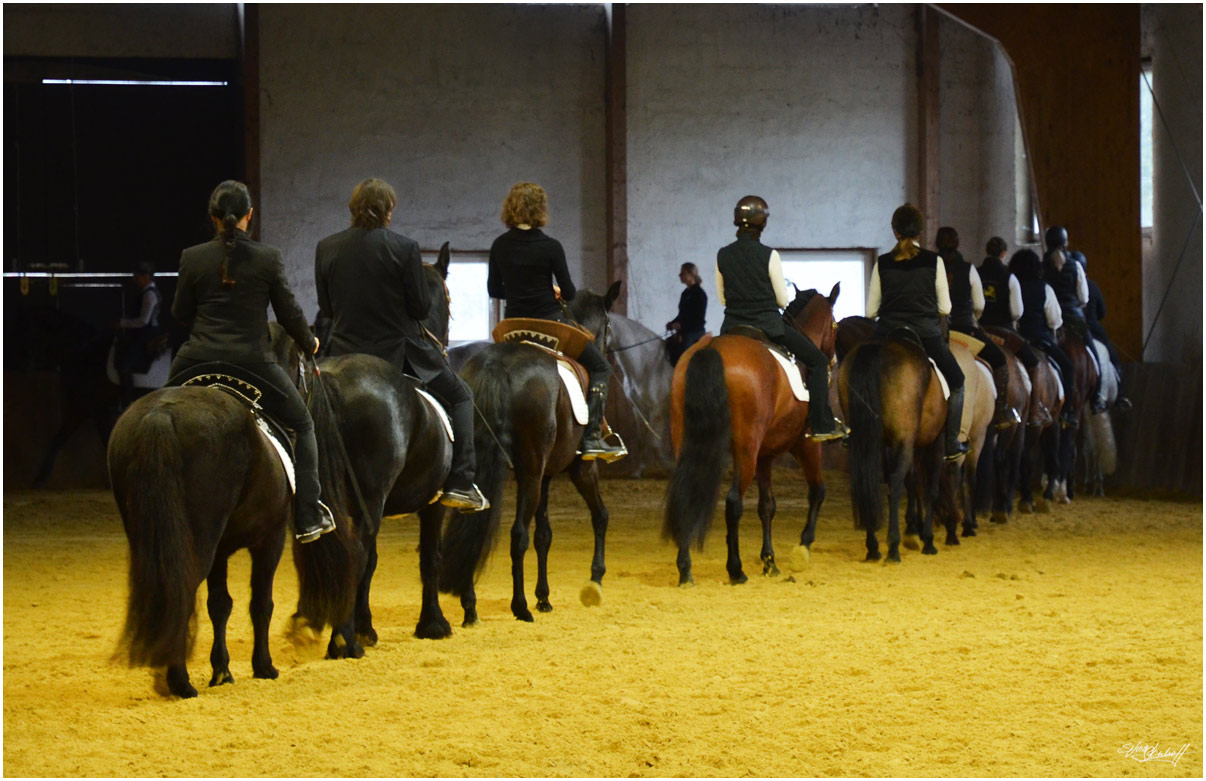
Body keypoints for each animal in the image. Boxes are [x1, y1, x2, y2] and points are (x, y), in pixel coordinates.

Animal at [284, 242, 463, 650]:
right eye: (448, 299)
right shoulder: (432, 501)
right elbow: (429, 556)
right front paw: (433, 623)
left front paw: (366, 625)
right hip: (371, 494)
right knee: (358, 549)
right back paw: (343, 641)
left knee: (313, 548)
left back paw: (310, 624)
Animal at [438, 280, 622, 621]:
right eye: (609, 326)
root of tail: (497, 364)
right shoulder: (581, 468)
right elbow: (600, 515)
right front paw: (594, 581)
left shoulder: (547, 474)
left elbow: (544, 535)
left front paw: (544, 596)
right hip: (531, 471)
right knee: (518, 535)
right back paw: (519, 606)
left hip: (495, 469)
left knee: (475, 528)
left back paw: (470, 606)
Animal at [660, 285, 839, 585]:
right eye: (836, 326)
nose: (833, 361)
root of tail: (711, 348)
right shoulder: (806, 445)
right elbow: (818, 491)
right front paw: (801, 549)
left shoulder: (765, 455)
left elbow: (767, 506)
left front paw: (770, 562)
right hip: (746, 450)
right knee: (734, 502)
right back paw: (736, 570)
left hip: (688, 442)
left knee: (686, 494)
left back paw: (685, 570)